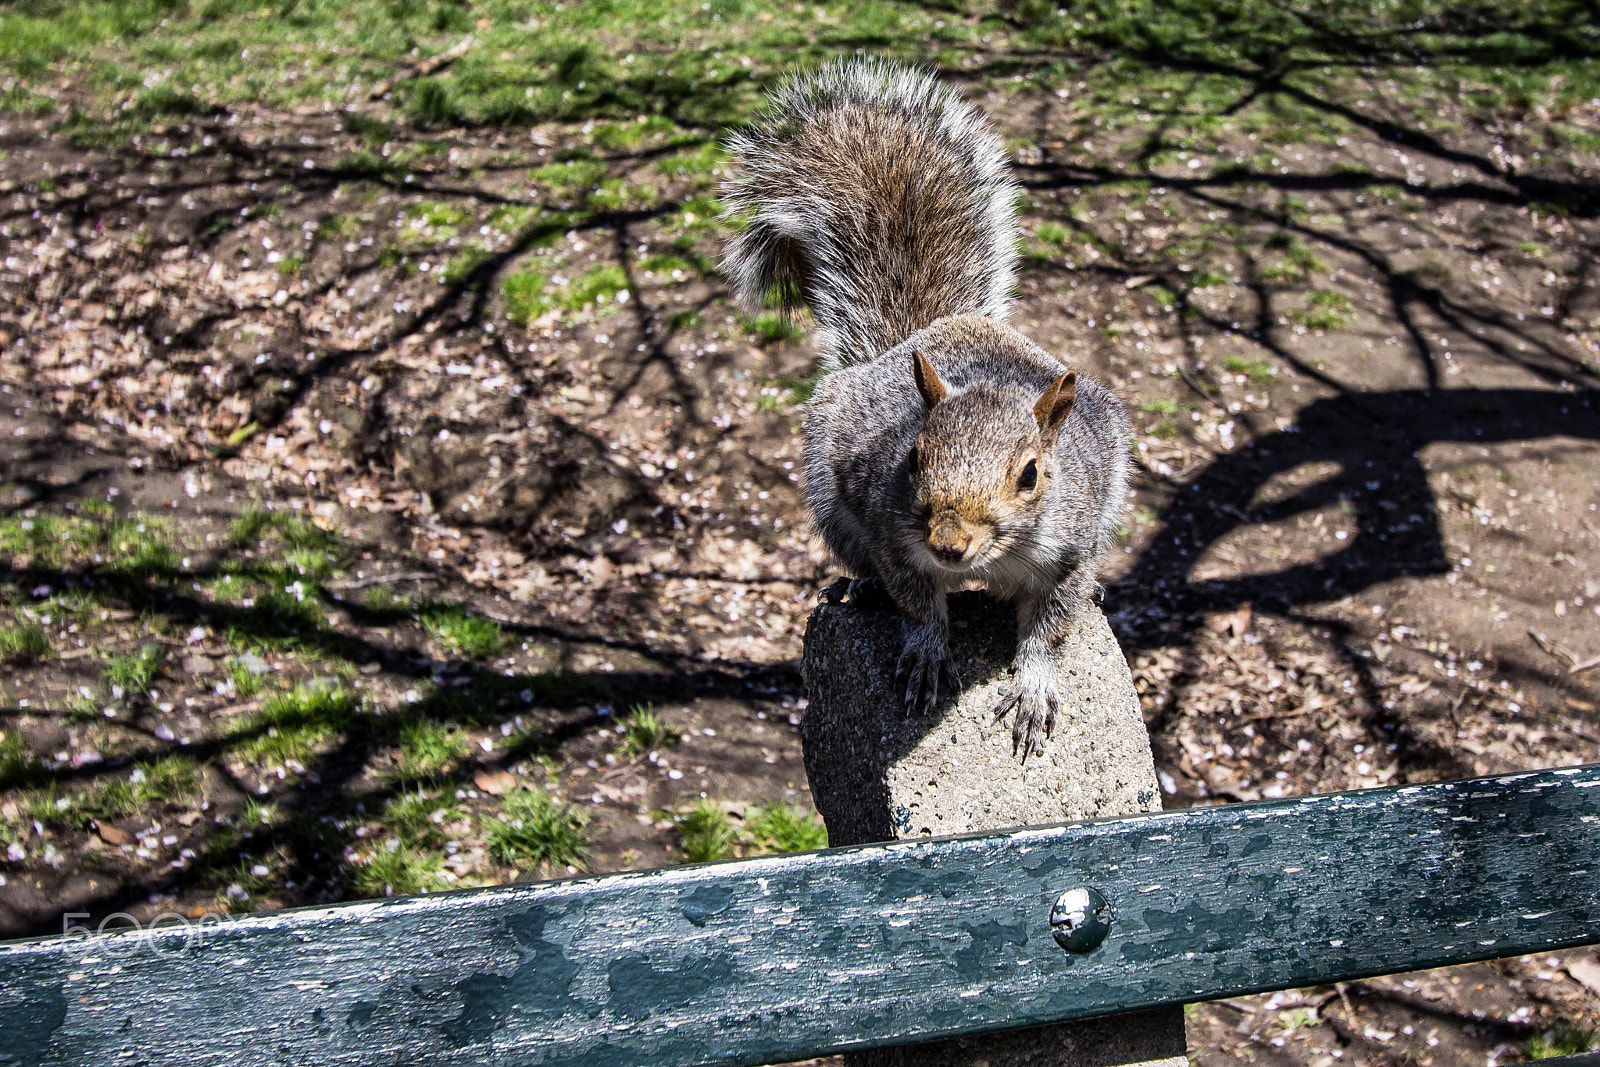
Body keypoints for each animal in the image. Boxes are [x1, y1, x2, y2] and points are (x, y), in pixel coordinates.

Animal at [724, 59, 1130, 758]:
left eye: (1030, 475)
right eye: (913, 457)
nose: (947, 544)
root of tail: (922, 336)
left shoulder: (1070, 549)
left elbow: (1049, 628)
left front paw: (1033, 688)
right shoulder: (892, 533)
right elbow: (917, 603)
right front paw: (925, 652)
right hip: (833, 505)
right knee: (865, 567)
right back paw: (860, 587)